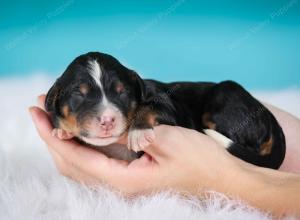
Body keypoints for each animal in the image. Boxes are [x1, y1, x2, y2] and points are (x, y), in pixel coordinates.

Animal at [45, 51, 286, 168]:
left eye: (122, 93)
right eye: (79, 94)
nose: (108, 120)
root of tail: (268, 115)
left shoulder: (169, 107)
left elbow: (149, 108)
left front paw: (139, 132)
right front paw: (63, 130)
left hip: (225, 96)